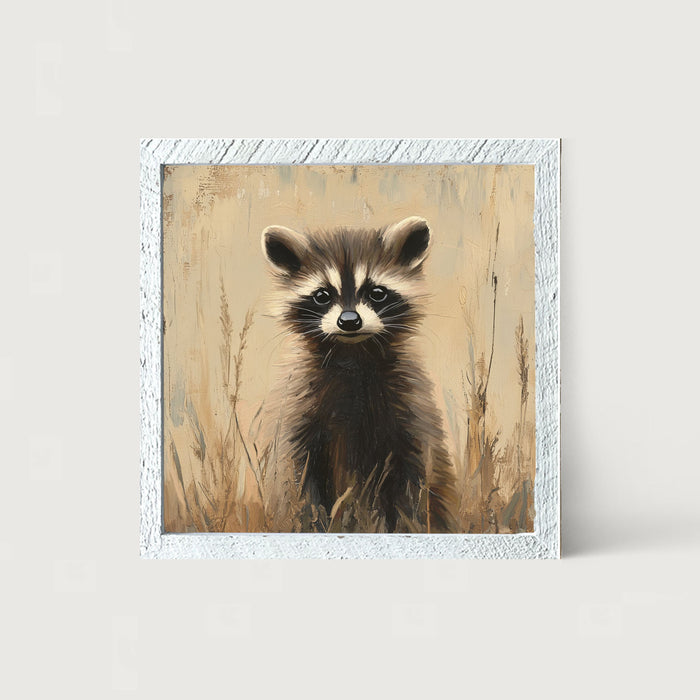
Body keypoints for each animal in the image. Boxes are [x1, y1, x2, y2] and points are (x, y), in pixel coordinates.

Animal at [261, 216, 459, 533]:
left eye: (377, 292)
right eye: (322, 295)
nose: (349, 321)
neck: (352, 355)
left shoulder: (411, 409)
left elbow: (413, 478)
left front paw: (409, 523)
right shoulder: (299, 408)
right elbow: (299, 476)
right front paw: (313, 520)